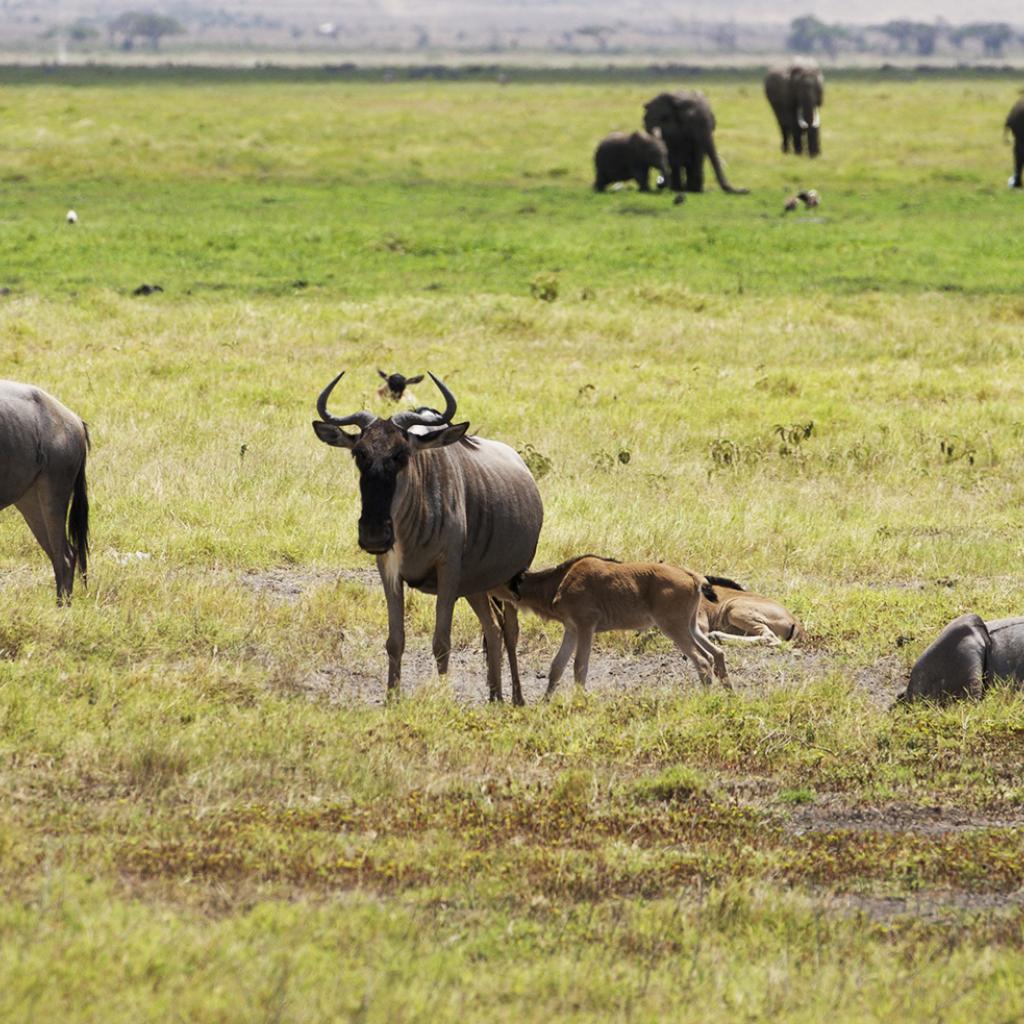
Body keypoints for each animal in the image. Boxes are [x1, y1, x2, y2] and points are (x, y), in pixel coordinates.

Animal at [497, 557, 729, 700]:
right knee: (716, 653)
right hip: (690, 627)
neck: (559, 582)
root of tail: (693, 576)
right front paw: (545, 703)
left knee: (702, 661)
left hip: (673, 628)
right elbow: (557, 667)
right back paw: (729, 693)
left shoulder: (585, 627)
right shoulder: (571, 629)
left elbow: (579, 666)